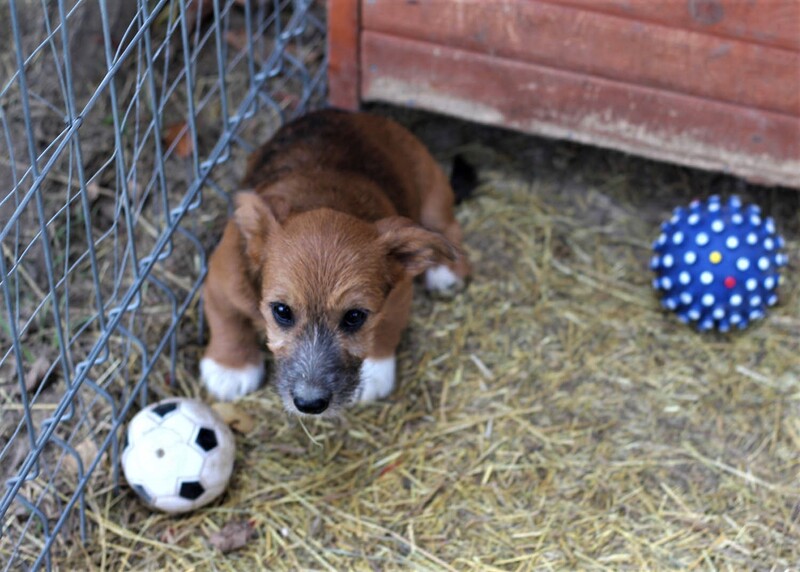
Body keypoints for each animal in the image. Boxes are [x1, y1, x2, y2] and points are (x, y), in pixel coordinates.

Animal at [200, 110, 472, 416]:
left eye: (354, 316)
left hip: (431, 188)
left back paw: (445, 271)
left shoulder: (399, 295)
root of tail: (352, 115)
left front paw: (375, 371)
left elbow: (385, 330)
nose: (310, 404)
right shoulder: (222, 282)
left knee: (446, 227)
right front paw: (230, 368)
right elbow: (227, 320)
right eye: (282, 311)